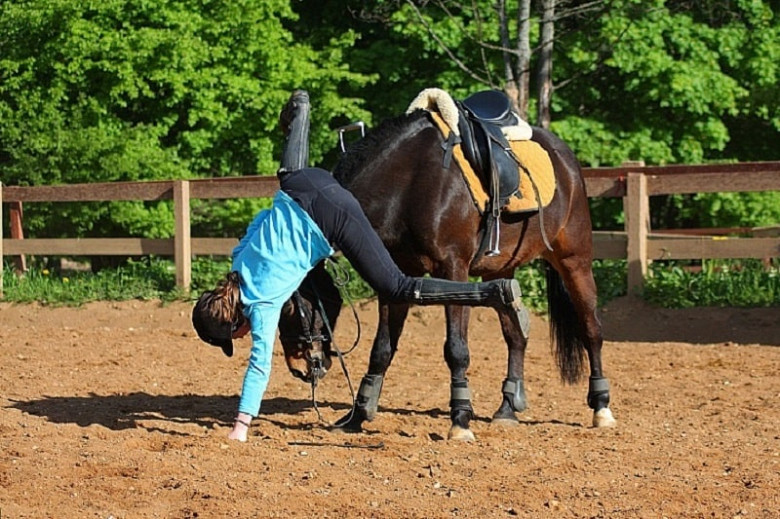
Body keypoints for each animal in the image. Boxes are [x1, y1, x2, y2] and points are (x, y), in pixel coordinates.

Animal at [278, 103, 620, 440]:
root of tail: (565, 157)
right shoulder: (396, 273)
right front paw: (358, 414)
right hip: (501, 270)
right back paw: (507, 408)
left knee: (591, 330)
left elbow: (456, 348)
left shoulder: (453, 268)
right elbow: (382, 348)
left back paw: (601, 407)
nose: (297, 367)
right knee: (515, 337)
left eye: (291, 307)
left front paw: (460, 419)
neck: (407, 183)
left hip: (574, 261)